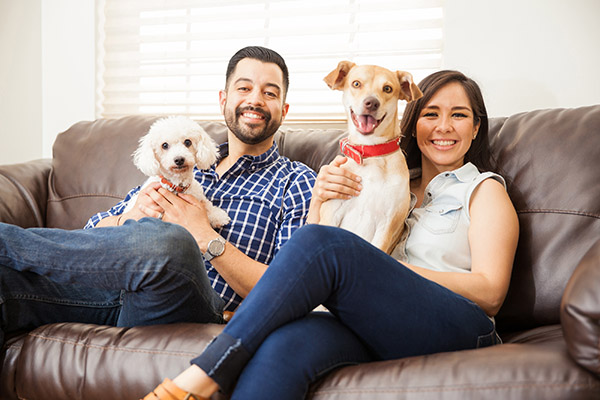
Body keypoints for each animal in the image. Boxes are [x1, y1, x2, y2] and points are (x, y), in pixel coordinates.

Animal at [322, 61, 424, 255]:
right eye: (356, 84)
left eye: (387, 88)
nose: (371, 103)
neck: (371, 154)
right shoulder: (332, 212)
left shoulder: (386, 225)